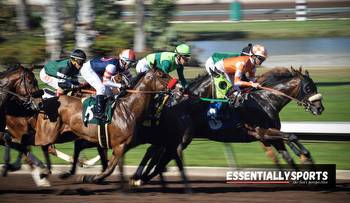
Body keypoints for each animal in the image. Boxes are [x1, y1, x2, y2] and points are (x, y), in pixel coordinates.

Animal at [130, 67, 324, 186]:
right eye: (308, 88)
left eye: (314, 86)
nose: (320, 108)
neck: (266, 100)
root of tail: (168, 102)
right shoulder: (261, 131)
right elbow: (291, 136)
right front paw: (306, 160)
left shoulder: (267, 136)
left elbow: (287, 152)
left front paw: (303, 168)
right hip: (178, 138)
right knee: (157, 154)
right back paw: (140, 178)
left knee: (155, 151)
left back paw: (140, 177)